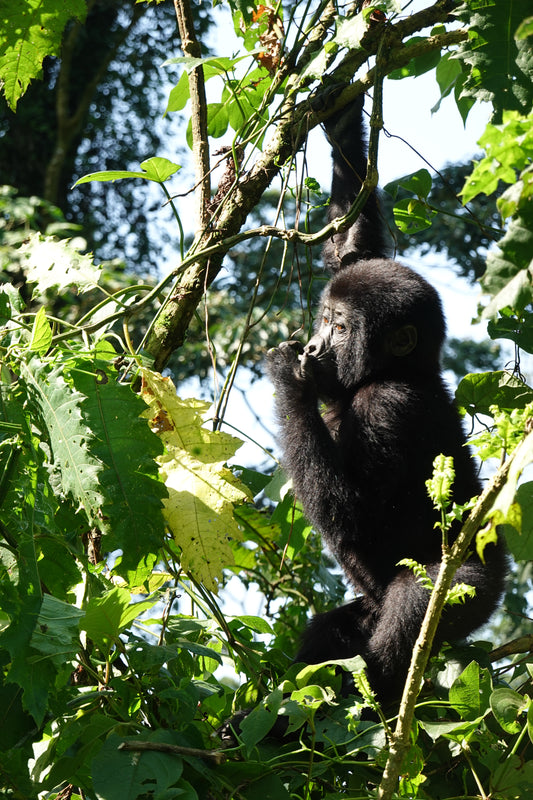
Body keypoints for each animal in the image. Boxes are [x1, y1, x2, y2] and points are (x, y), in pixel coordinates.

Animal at [268, 97, 504, 704]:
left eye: (341, 329)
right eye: (325, 318)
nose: (316, 347)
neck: (396, 369)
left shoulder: (390, 406)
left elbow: (354, 515)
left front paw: (289, 381)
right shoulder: (361, 262)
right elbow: (352, 244)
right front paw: (343, 117)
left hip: (468, 585)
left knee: (408, 611)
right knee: (339, 629)